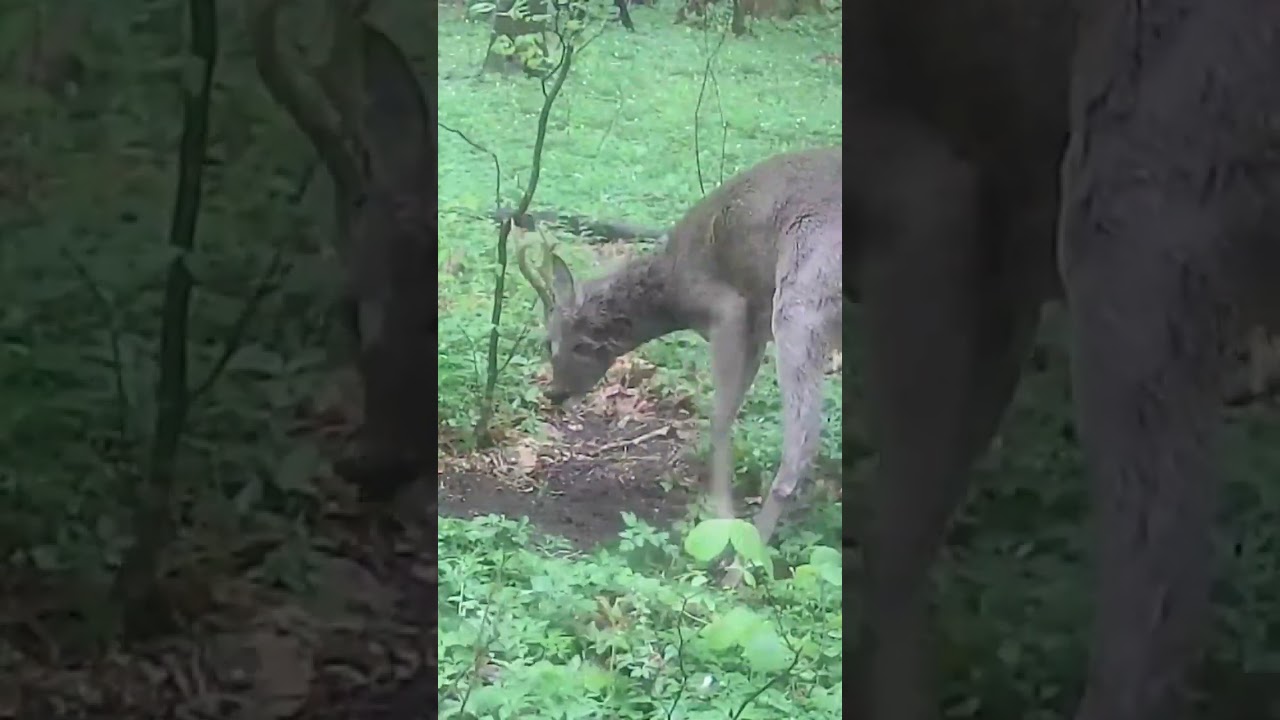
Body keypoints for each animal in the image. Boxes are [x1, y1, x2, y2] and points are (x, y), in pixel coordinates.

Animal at [517, 146, 843, 559]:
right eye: (548, 343)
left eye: (576, 343)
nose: (554, 392)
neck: (671, 293)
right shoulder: (754, 329)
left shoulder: (730, 309)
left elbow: (719, 418)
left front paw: (721, 515)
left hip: (800, 298)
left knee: (803, 443)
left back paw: (746, 558)